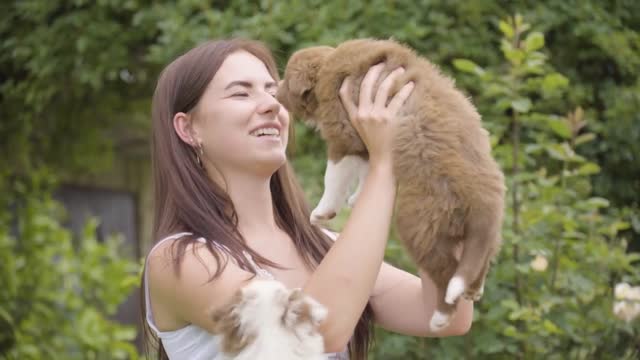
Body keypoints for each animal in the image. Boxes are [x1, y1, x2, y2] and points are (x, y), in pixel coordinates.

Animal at [278, 38, 508, 332]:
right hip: (482, 235)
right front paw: (356, 198)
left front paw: (322, 211)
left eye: (286, 80)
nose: (274, 90)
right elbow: (366, 171)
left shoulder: (342, 136)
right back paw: (473, 288)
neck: (329, 67)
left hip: (418, 224)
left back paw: (440, 317)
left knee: (444, 270)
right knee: (478, 260)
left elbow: (334, 176)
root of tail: (482, 205)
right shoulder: (363, 142)